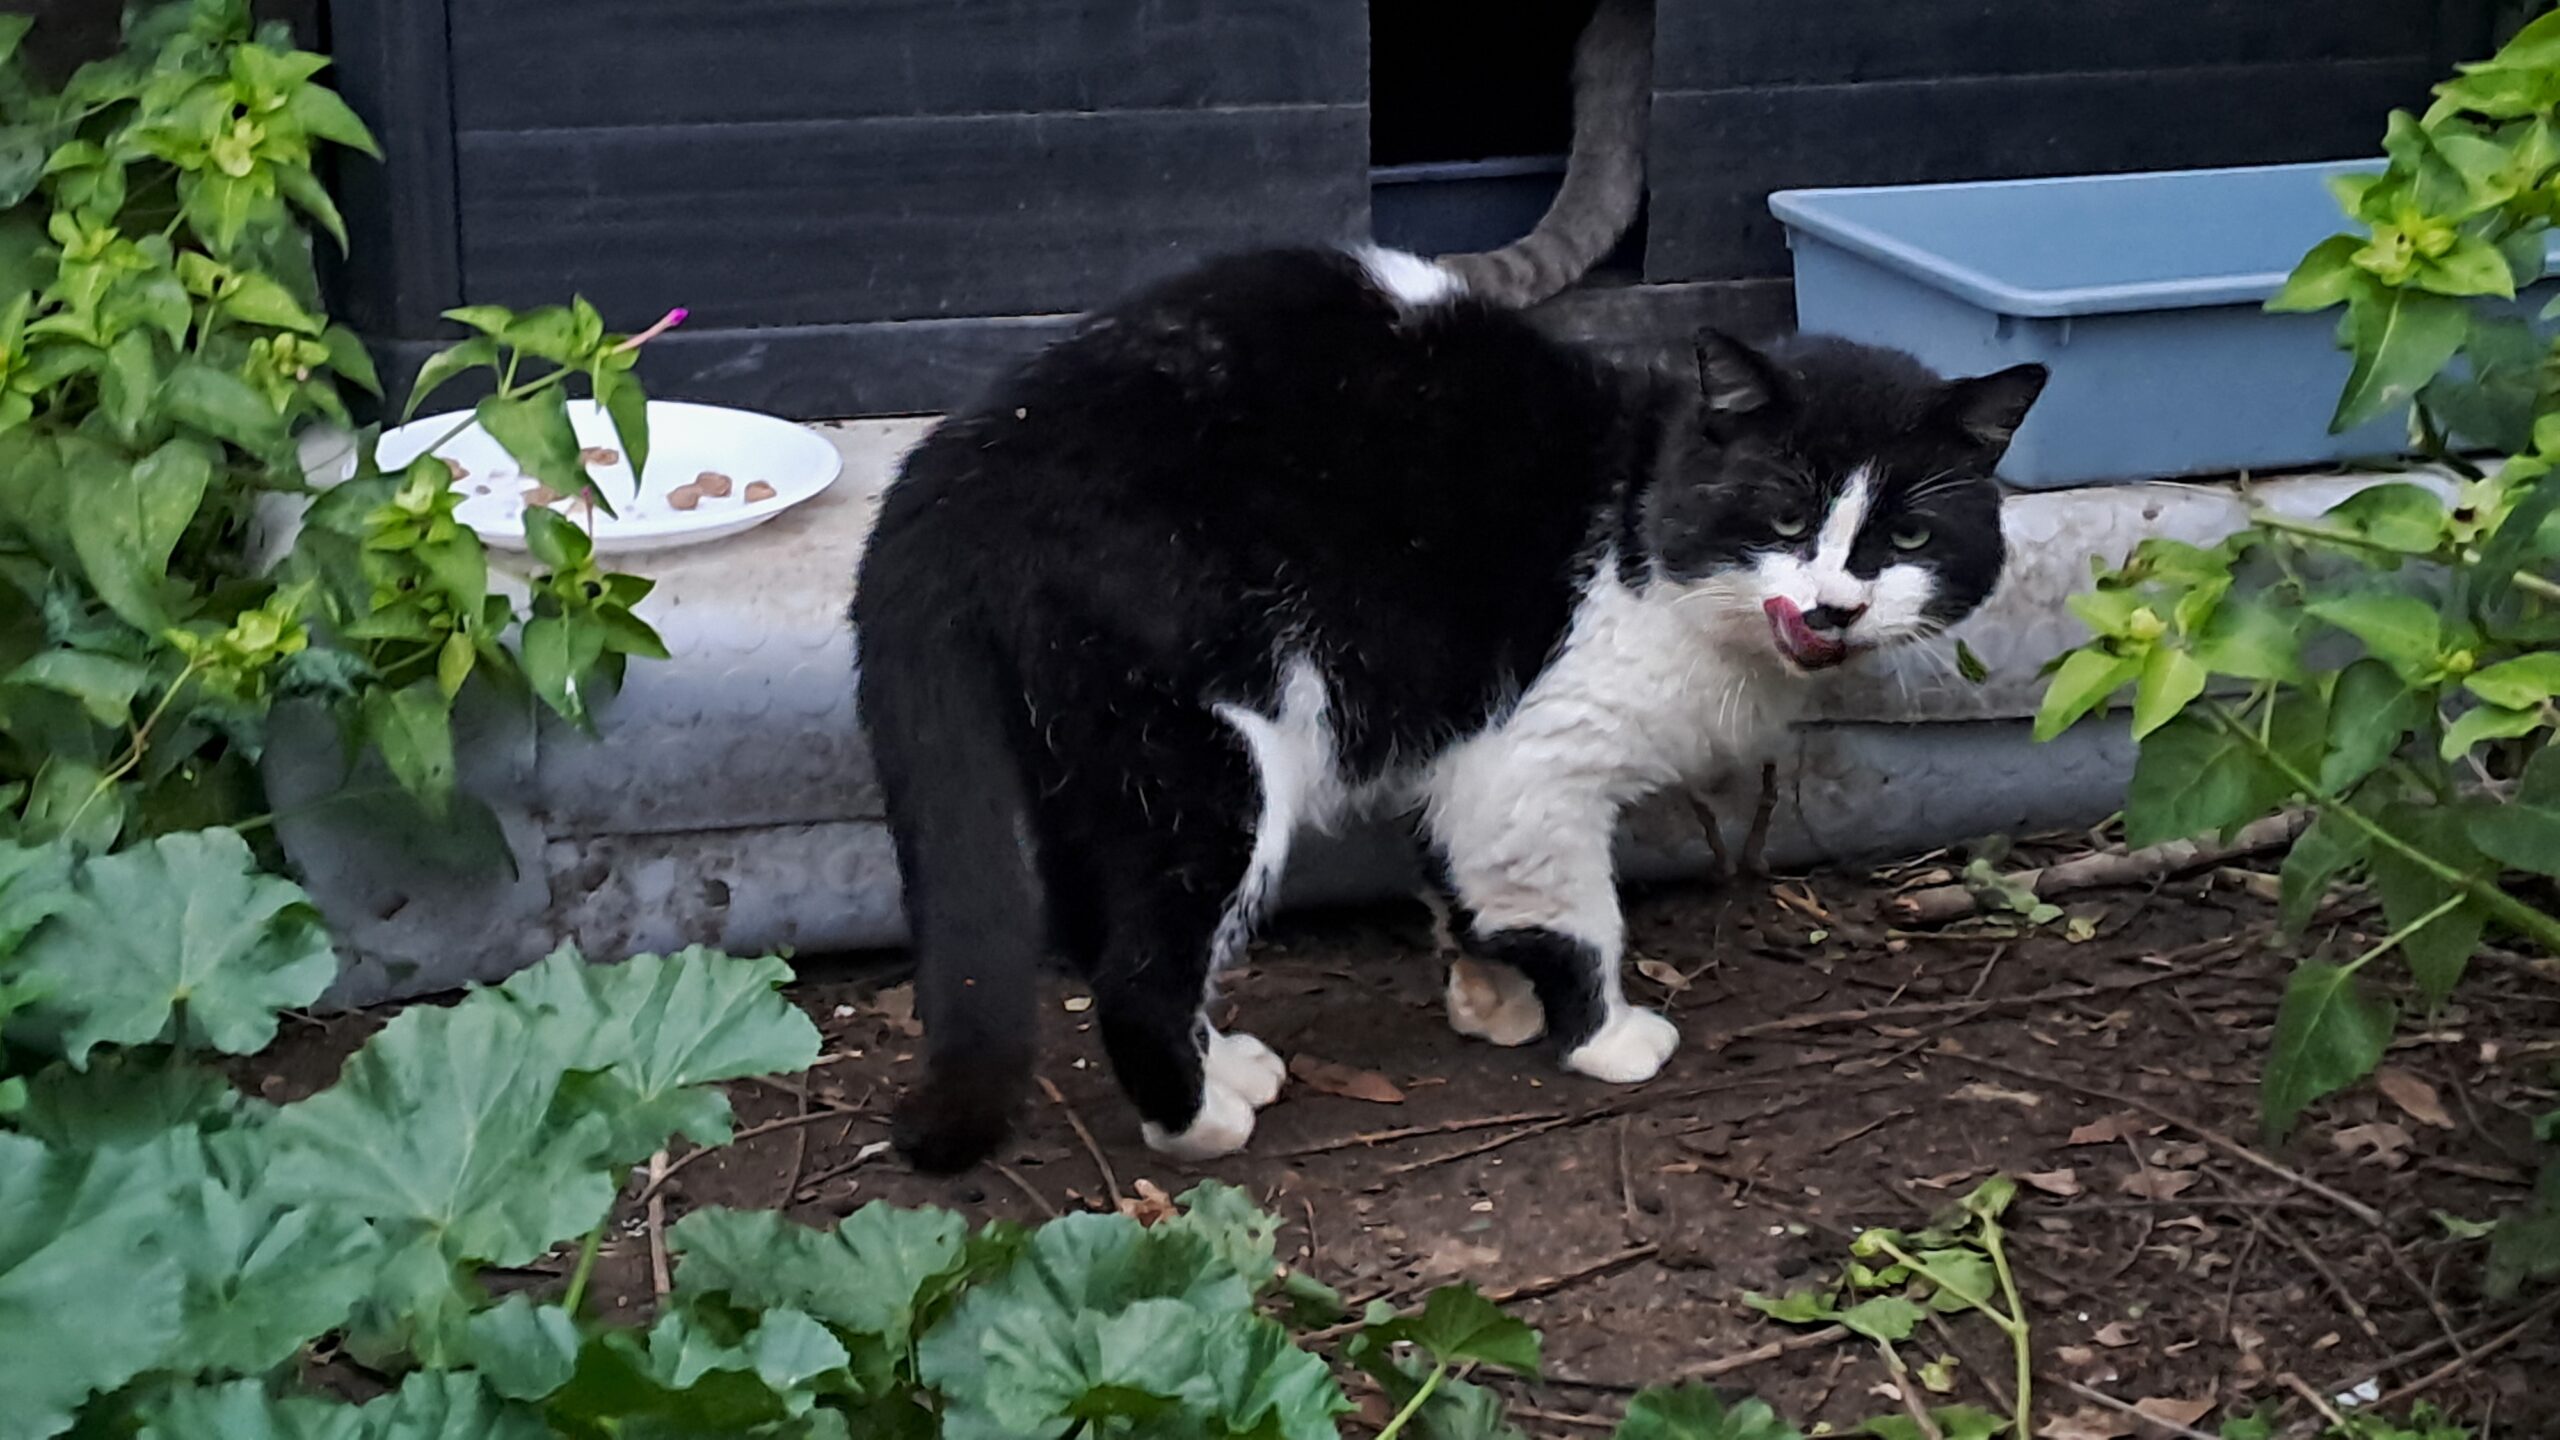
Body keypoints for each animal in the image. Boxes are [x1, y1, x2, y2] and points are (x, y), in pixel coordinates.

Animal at [853, 244, 2045, 1172]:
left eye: (1908, 538)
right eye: (1786, 515)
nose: (1837, 605)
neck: (1639, 512)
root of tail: (962, 461)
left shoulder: (1465, 744)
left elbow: (1459, 872)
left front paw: (1488, 995)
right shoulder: (1538, 759)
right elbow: (1575, 912)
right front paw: (1601, 1035)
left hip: (1092, 747)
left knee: (1095, 921)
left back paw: (1223, 1063)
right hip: (1206, 753)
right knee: (1139, 972)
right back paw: (1196, 1124)